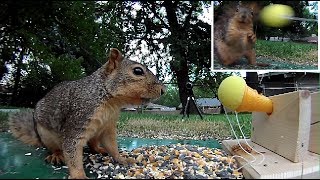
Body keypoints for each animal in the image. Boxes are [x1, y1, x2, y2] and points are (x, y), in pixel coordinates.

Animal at [8, 47, 166, 179]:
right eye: (138, 71)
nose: (163, 90)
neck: (111, 101)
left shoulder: (108, 126)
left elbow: (112, 145)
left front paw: (122, 158)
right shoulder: (78, 120)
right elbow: (72, 151)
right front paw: (79, 176)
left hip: (96, 131)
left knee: (92, 144)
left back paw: (99, 149)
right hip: (46, 135)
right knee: (55, 148)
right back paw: (57, 155)